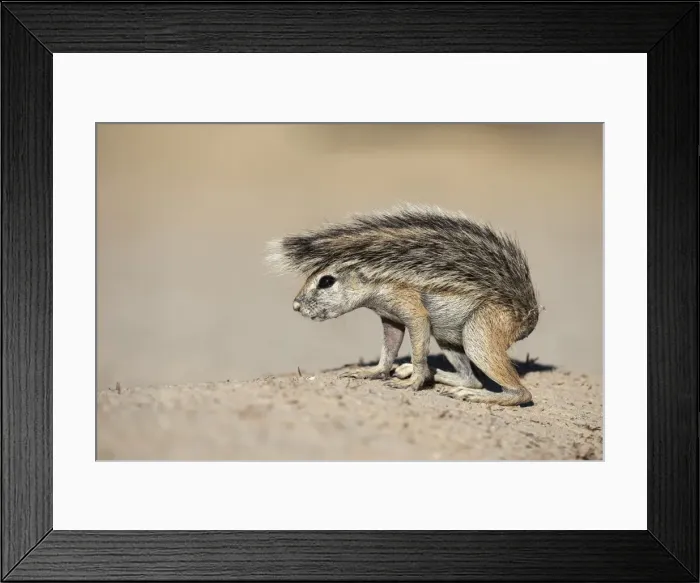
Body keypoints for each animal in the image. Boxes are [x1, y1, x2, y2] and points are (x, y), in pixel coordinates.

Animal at [265, 203, 542, 406]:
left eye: (326, 281)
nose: (296, 306)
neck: (377, 279)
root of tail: (525, 313)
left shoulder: (410, 308)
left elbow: (418, 346)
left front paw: (414, 381)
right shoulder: (390, 319)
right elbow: (388, 349)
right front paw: (373, 371)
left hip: (479, 334)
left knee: (520, 393)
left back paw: (472, 394)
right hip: (448, 337)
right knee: (470, 378)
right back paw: (428, 373)